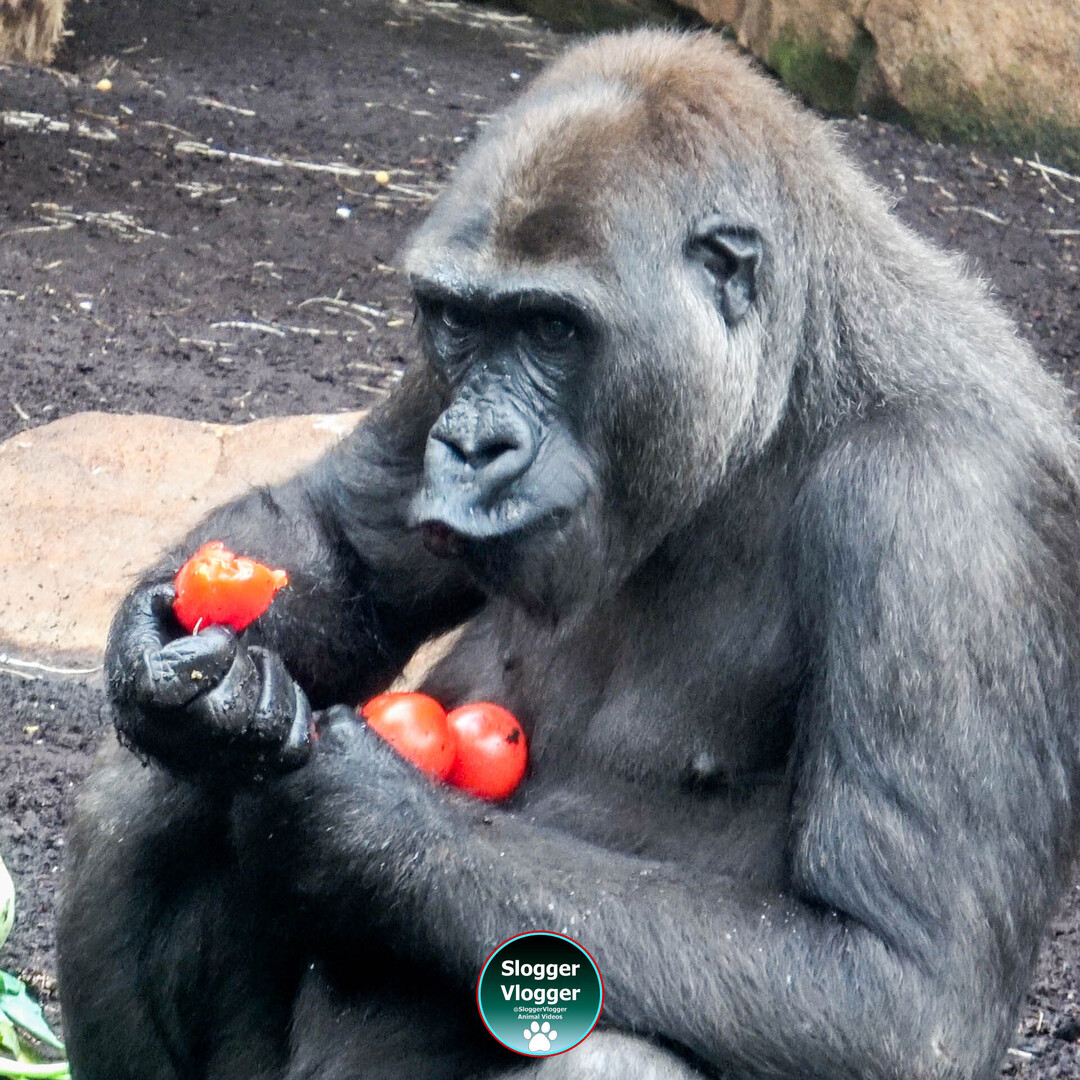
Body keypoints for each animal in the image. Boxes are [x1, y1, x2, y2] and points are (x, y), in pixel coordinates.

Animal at [58, 29, 1080, 1080]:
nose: (474, 446)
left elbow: (898, 987)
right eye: (459, 321)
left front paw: (360, 822)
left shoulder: (949, 507)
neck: (789, 385)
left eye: (553, 328)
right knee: (142, 799)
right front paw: (173, 668)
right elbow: (343, 545)